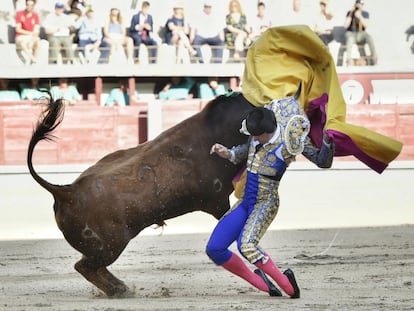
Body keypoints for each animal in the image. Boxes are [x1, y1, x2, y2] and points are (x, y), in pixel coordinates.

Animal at [27, 92, 254, 298]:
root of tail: (66, 191)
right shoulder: (217, 200)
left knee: (91, 267)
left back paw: (120, 287)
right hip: (110, 245)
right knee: (84, 266)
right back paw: (119, 290)